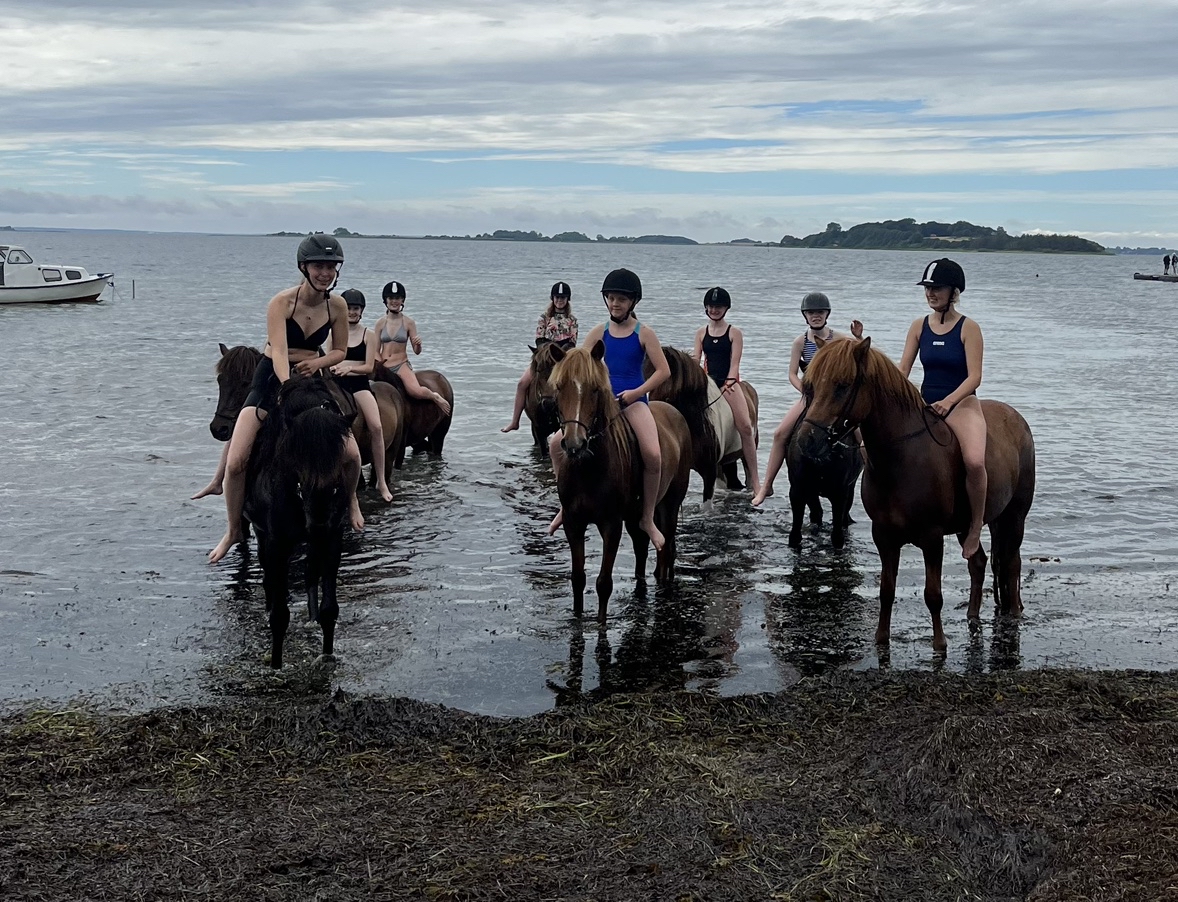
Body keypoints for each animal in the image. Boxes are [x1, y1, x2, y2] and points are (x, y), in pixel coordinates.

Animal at [243, 376, 353, 668]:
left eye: (339, 452)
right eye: (298, 452)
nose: (319, 516)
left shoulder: (332, 537)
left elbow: (330, 608)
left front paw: (327, 656)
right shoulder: (277, 542)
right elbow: (280, 615)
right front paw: (275, 665)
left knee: (310, 573)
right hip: (263, 536)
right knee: (269, 579)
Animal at [546, 343, 692, 617]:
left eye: (594, 389)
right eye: (560, 387)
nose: (574, 444)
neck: (589, 468)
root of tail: (674, 413)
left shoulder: (611, 524)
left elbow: (604, 583)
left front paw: (601, 626)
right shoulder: (573, 522)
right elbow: (578, 579)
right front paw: (578, 618)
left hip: (668, 505)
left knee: (665, 549)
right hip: (636, 515)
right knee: (642, 547)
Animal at [796, 336, 1036, 650]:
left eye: (842, 385)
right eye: (810, 386)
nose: (806, 441)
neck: (903, 458)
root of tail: (1017, 419)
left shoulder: (932, 537)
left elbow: (933, 595)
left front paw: (940, 645)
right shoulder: (883, 536)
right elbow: (886, 590)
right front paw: (881, 639)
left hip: (1014, 517)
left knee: (1011, 564)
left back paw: (1014, 611)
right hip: (968, 526)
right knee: (979, 563)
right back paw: (972, 616)